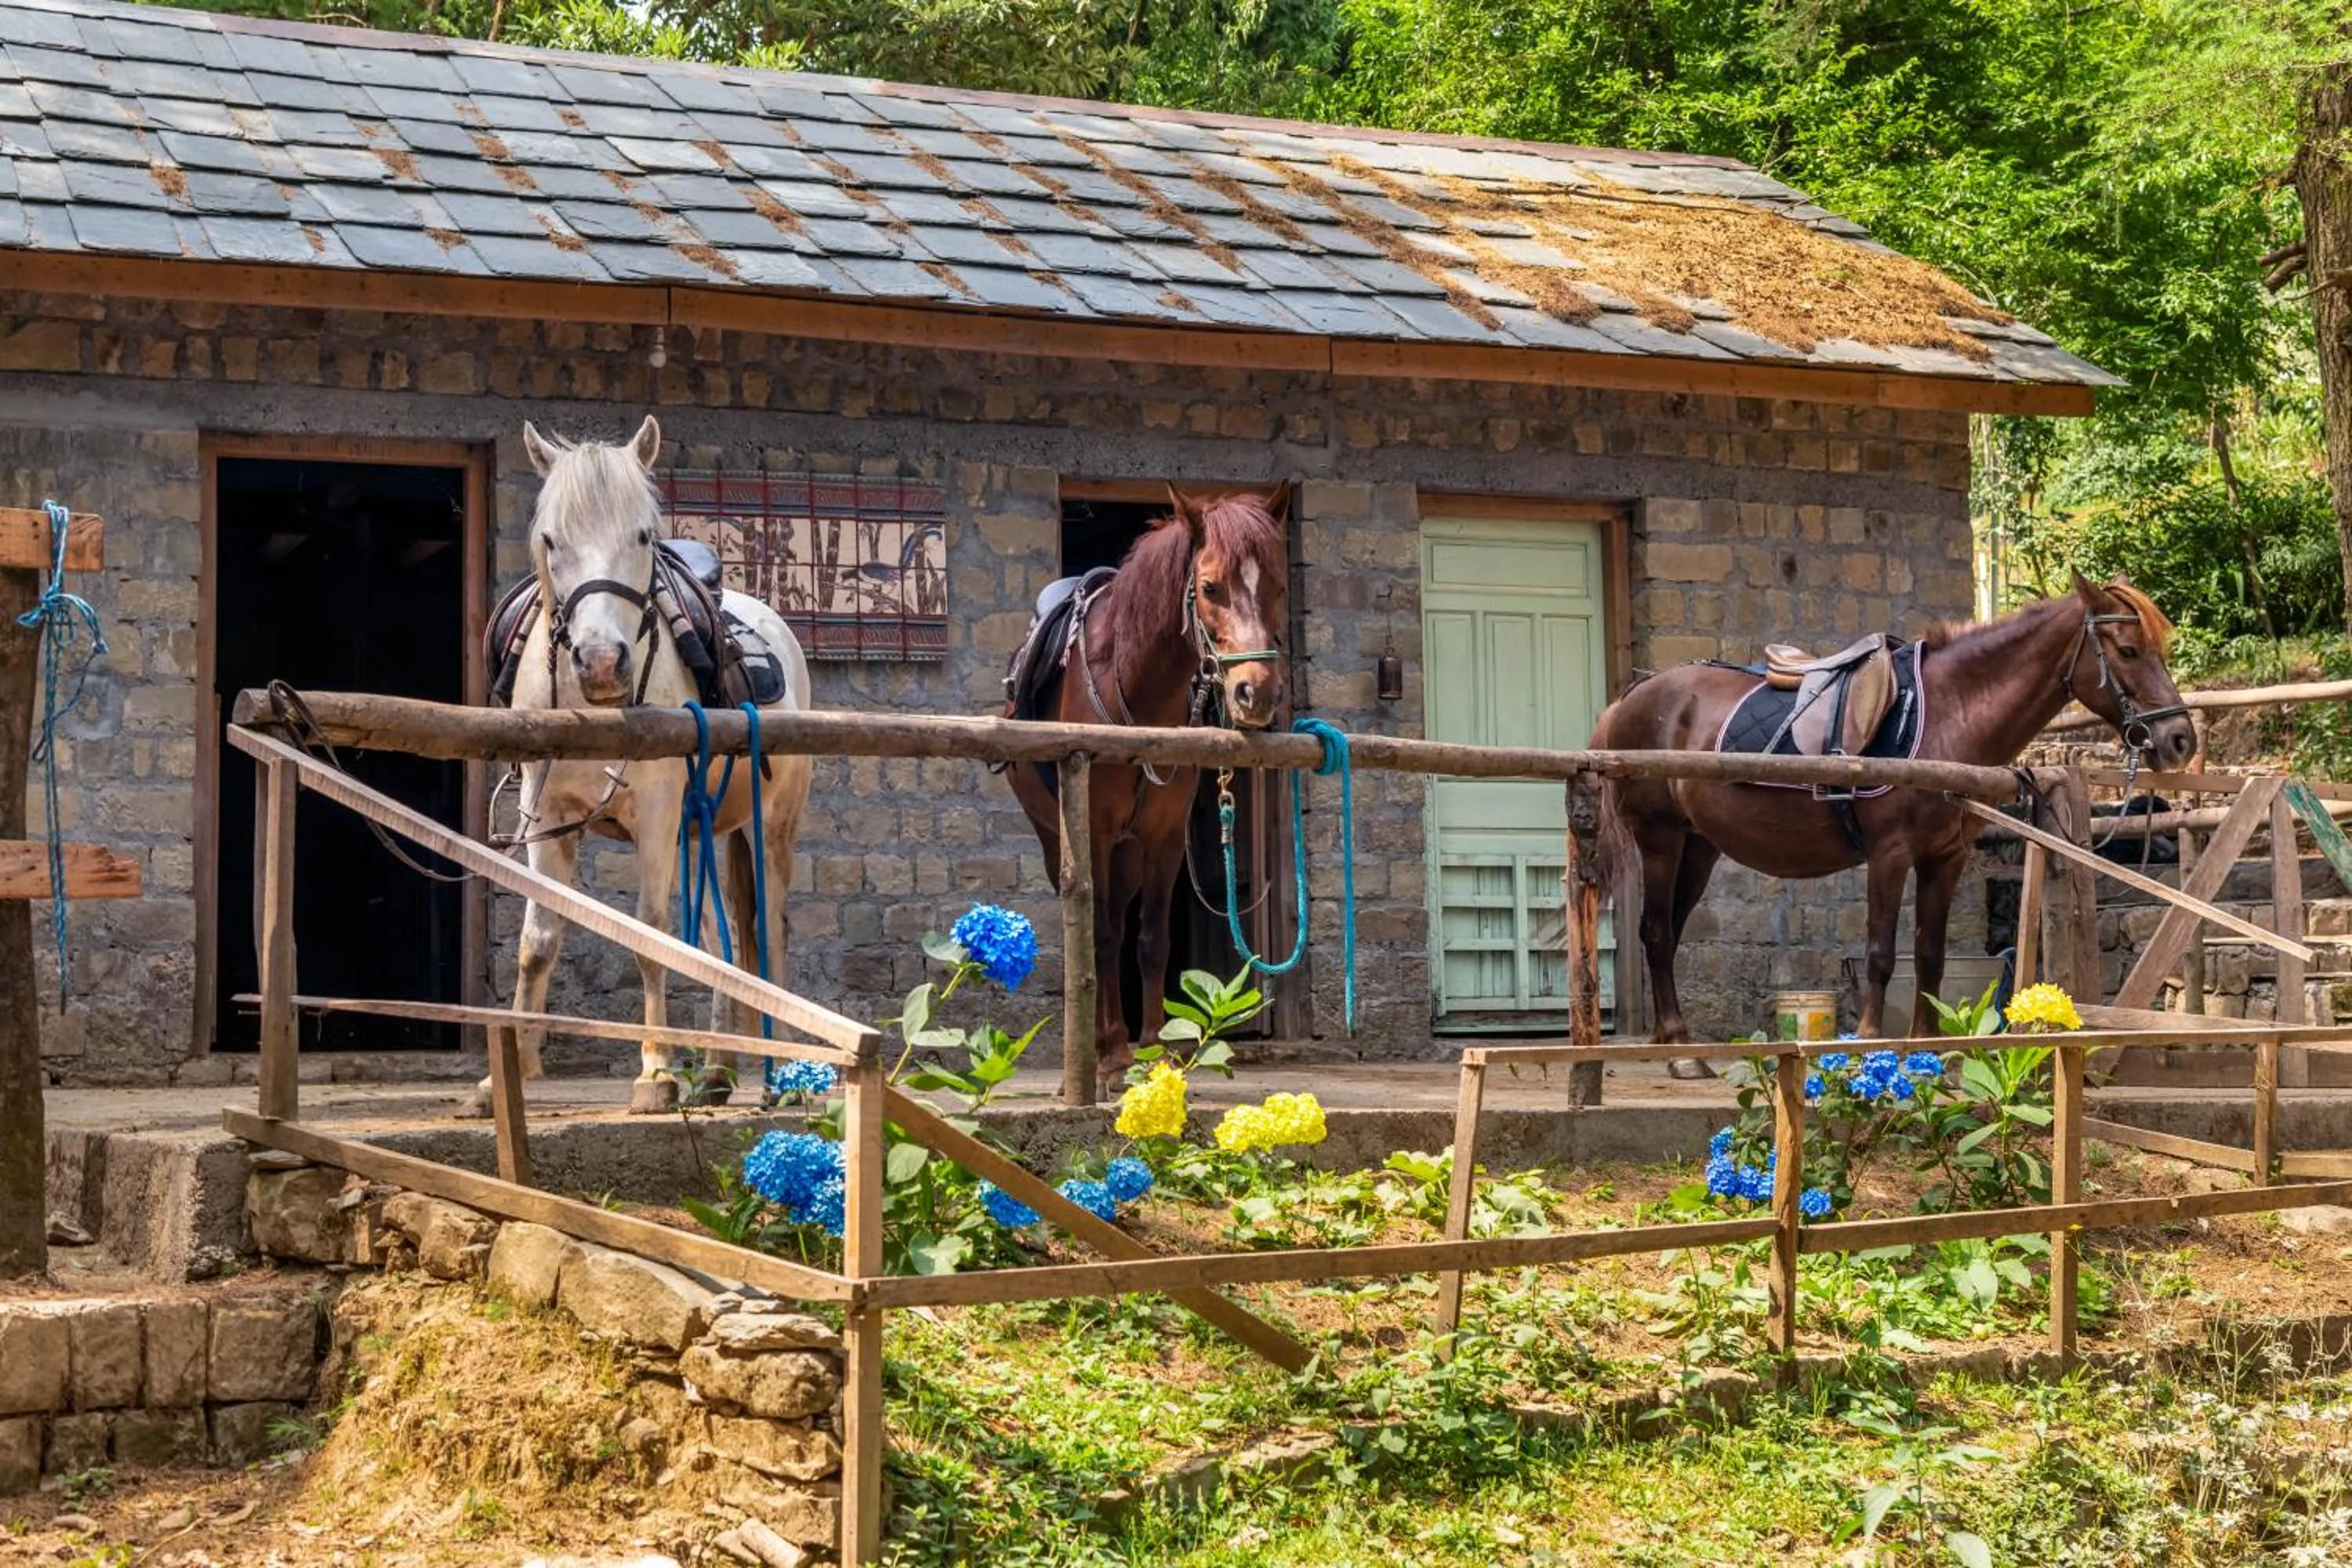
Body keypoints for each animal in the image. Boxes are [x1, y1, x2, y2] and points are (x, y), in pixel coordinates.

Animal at [462, 416, 814, 1118]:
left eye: (644, 535)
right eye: (551, 538)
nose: (601, 663)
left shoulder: (653, 816)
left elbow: (652, 935)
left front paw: (656, 1072)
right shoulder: (544, 814)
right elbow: (538, 940)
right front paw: (508, 1072)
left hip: (769, 829)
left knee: (770, 928)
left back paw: (781, 1070)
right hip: (698, 829)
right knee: (720, 940)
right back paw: (718, 1070)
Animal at [1004, 485, 1290, 1094]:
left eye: (1278, 586)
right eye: (1209, 587)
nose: (1256, 694)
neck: (1137, 691)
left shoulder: (1162, 838)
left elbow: (1153, 940)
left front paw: (1156, 1055)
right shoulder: (1095, 832)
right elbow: (1105, 938)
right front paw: (1114, 1058)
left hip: (1130, 855)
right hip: (1058, 842)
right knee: (1088, 929)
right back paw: (1086, 1062)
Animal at [1592, 572, 2195, 1073]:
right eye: (2128, 651)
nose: (2180, 740)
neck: (1949, 714)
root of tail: (1633, 697)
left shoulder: (1945, 859)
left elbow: (1929, 956)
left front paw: (1930, 1051)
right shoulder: (1890, 854)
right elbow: (1881, 954)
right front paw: (1868, 1044)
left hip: (1699, 847)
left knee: (1666, 935)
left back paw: (1670, 1042)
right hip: (1661, 840)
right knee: (1655, 932)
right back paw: (1680, 1051)